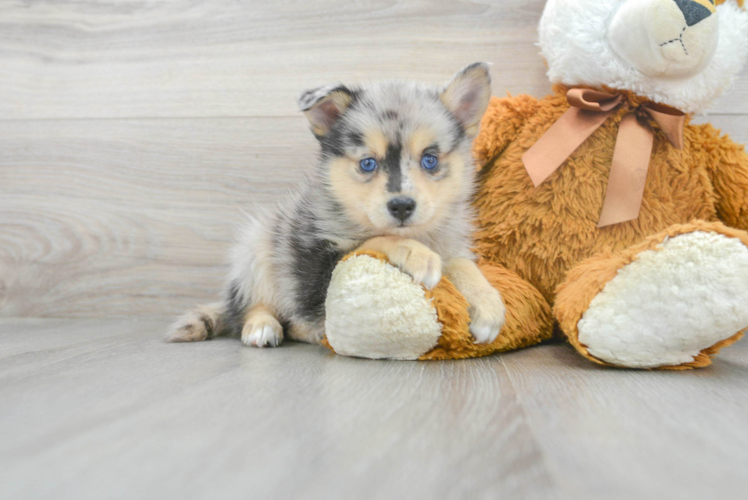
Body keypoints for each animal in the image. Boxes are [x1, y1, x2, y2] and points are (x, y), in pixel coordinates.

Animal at [169, 62, 506, 348]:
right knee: (254, 307)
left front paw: (488, 303)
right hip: (257, 252)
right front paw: (416, 253)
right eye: (367, 163)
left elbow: (462, 263)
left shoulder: (451, 246)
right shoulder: (318, 268)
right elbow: (376, 238)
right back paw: (263, 326)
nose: (401, 207)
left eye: (430, 160)